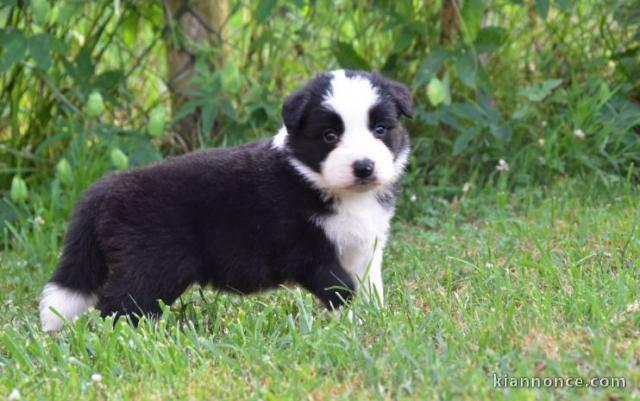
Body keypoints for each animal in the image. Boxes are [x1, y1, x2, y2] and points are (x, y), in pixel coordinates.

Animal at [40, 69, 412, 332]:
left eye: (380, 129)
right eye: (330, 135)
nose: (364, 166)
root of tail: (103, 189)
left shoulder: (365, 248)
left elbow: (370, 288)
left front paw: (377, 321)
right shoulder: (308, 253)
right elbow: (342, 289)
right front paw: (356, 324)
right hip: (152, 264)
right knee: (117, 306)